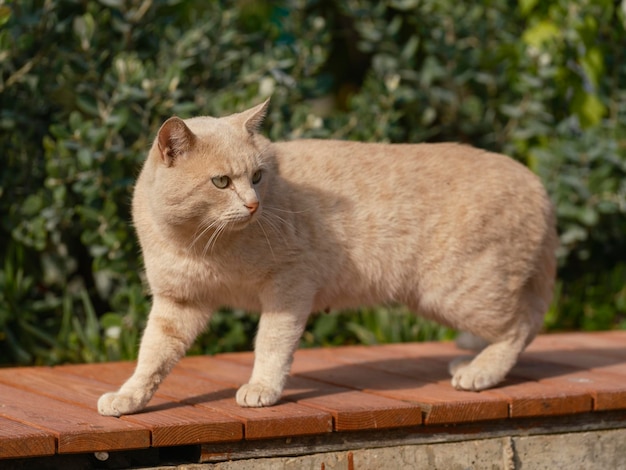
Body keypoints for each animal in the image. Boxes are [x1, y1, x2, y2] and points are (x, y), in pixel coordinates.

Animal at [97, 99, 556, 414]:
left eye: (258, 177)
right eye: (222, 182)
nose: (253, 205)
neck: (202, 244)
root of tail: (537, 183)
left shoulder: (290, 285)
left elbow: (271, 343)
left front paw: (262, 388)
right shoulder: (179, 303)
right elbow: (152, 355)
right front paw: (130, 396)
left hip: (458, 292)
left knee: (522, 326)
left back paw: (480, 370)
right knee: (525, 322)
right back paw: (470, 356)